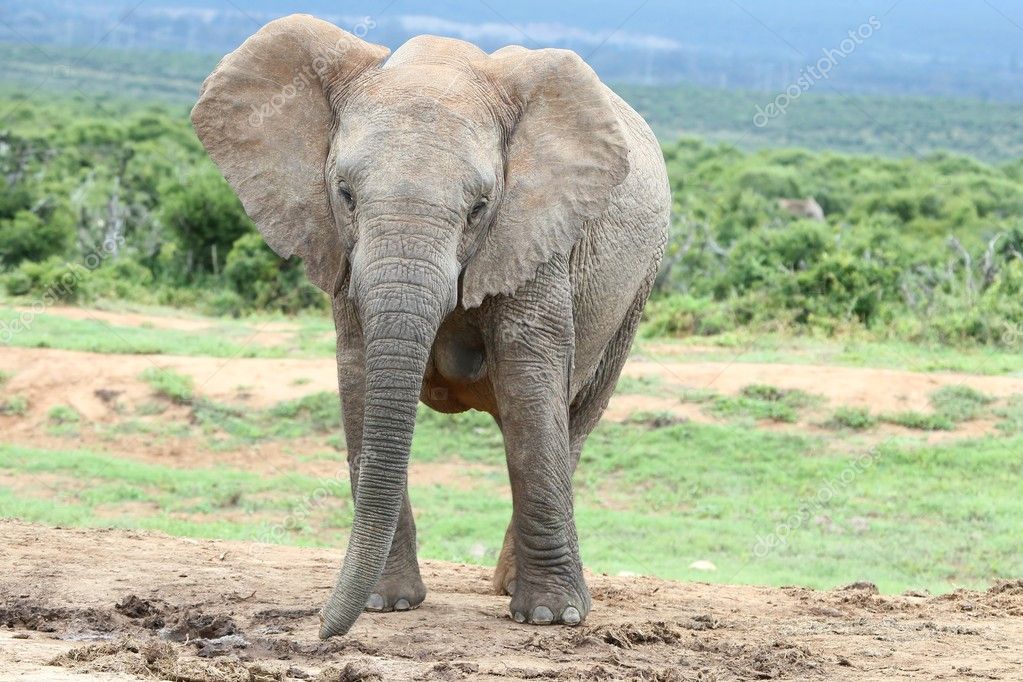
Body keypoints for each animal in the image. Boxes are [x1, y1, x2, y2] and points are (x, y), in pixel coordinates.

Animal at [191, 13, 671, 638]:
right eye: (345, 195)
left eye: (479, 207)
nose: (320, 629)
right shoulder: (341, 249)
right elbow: (361, 375)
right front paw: (386, 604)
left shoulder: (536, 230)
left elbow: (529, 375)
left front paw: (550, 617)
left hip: (636, 290)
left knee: (575, 418)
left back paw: (513, 588)